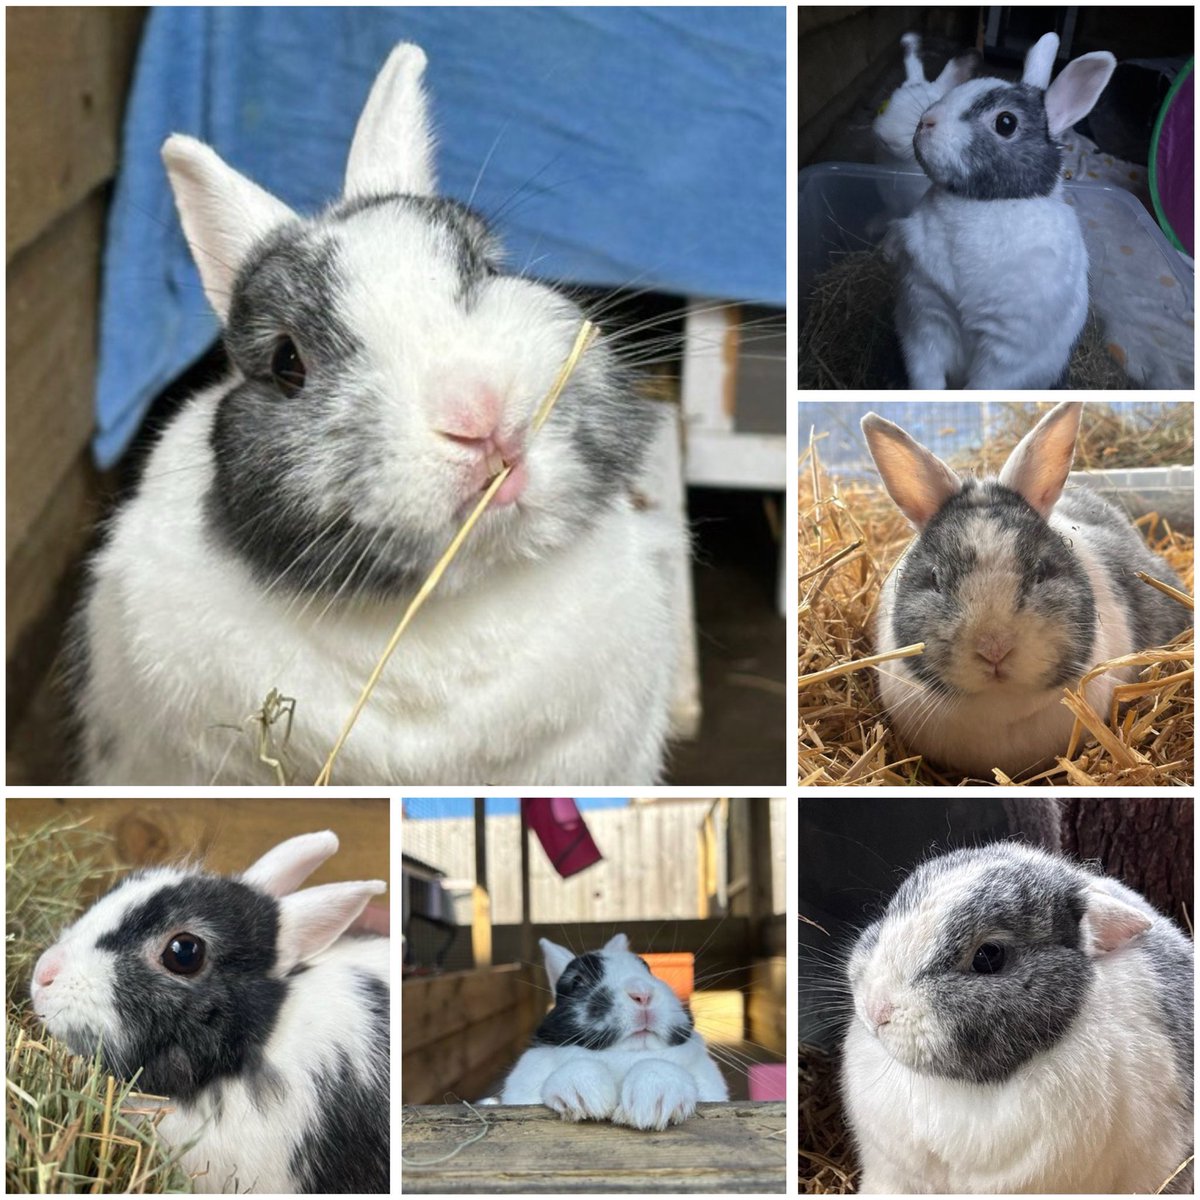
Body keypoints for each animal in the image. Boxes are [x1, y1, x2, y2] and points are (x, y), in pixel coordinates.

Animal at [499, 933, 728, 1129]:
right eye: (577, 981)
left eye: (648, 969)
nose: (642, 994)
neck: (624, 1056)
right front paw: (587, 1097)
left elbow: (656, 1066)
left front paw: (652, 1102)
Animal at [885, 32, 1116, 388]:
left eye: (1006, 122)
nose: (925, 122)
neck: (983, 203)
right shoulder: (924, 319)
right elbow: (926, 377)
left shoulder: (1006, 352)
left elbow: (984, 385)